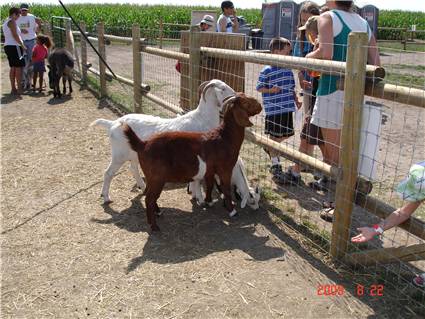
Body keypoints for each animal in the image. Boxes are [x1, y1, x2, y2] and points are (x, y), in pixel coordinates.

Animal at [122, 94, 262, 231]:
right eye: (246, 103)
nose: (260, 106)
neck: (224, 138)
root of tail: (143, 144)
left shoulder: (210, 171)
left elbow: (210, 185)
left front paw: (208, 201)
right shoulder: (225, 169)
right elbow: (226, 189)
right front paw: (232, 211)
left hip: (151, 177)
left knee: (148, 194)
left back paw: (158, 212)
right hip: (157, 177)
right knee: (149, 199)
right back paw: (154, 226)